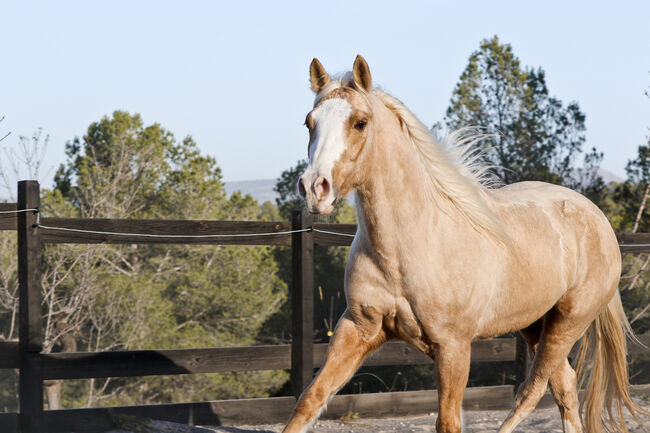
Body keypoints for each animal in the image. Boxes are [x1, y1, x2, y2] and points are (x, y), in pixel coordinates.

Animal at [284, 54, 644, 432]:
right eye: (309, 123)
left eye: (360, 123)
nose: (314, 188)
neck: (410, 245)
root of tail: (598, 219)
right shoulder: (358, 328)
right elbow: (309, 400)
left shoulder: (453, 346)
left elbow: (448, 421)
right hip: (535, 325)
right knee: (564, 387)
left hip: (567, 323)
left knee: (531, 390)